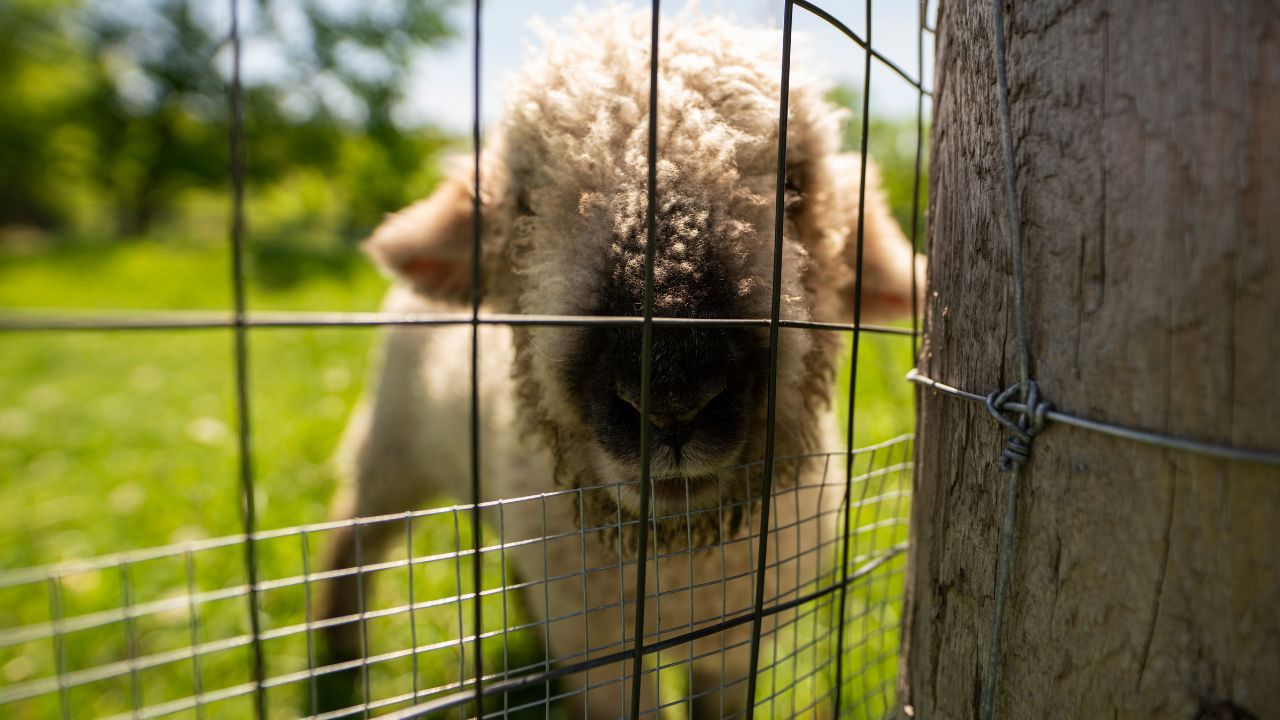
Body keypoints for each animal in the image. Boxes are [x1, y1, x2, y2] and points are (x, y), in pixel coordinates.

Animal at [315, 7, 923, 718]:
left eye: (795, 187)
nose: (672, 394)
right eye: (524, 206)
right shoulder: (602, 658)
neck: (677, 559)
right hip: (393, 443)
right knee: (354, 531)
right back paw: (337, 655)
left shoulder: (732, 645)